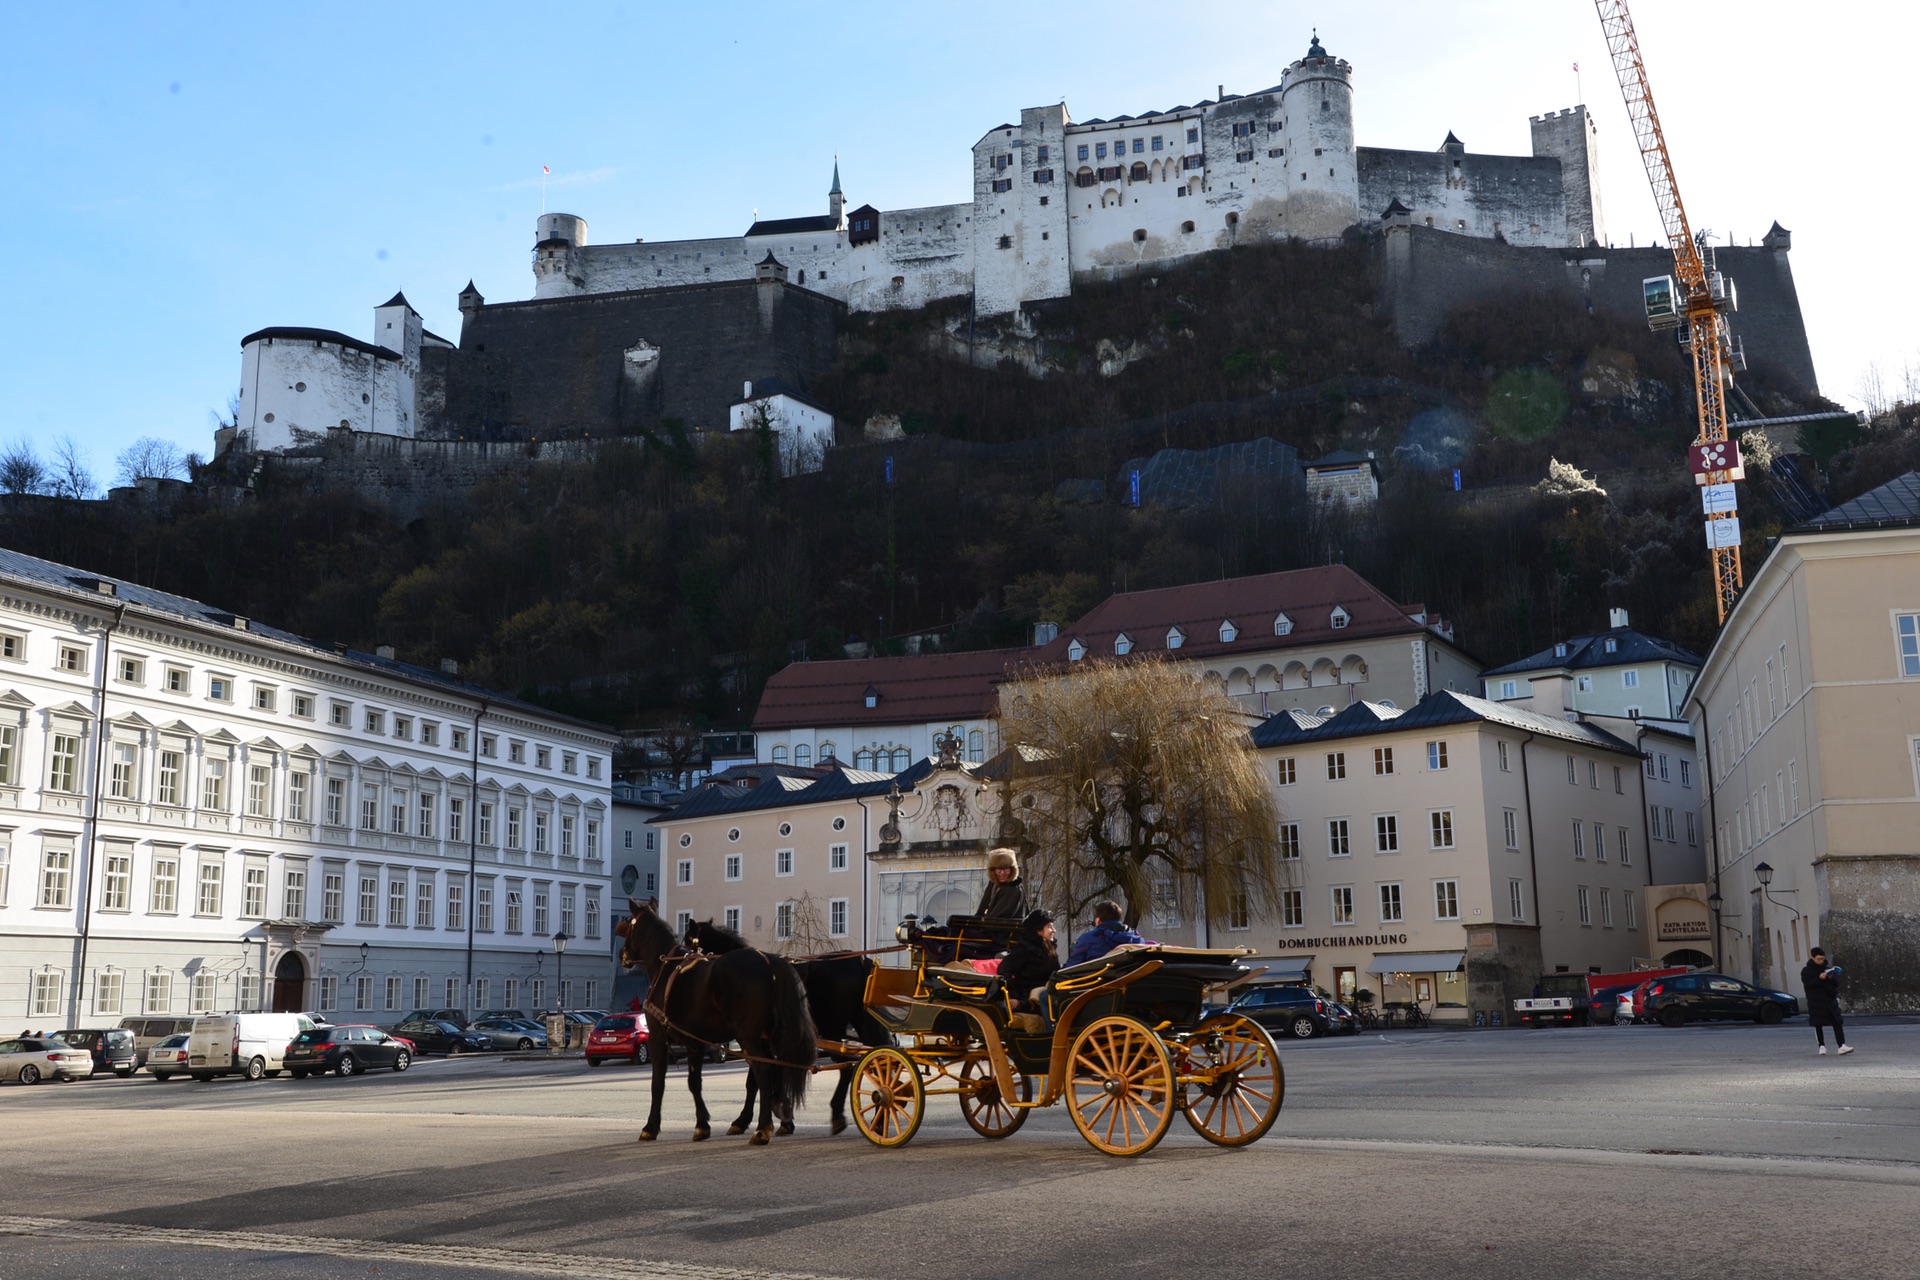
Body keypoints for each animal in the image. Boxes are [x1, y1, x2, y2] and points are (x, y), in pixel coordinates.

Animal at [618, 898, 814, 1143]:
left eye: (629, 925)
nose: (622, 954)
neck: (666, 968)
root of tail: (768, 960)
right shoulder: (694, 1044)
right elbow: (694, 1083)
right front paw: (702, 1124)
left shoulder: (657, 1039)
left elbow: (658, 1083)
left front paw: (651, 1126)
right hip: (767, 1036)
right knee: (775, 1068)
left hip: (749, 1037)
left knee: (763, 1071)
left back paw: (762, 1127)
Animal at [687, 917, 894, 1136]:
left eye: (687, 941)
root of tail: (858, 961)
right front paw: (781, 1115)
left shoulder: (756, 1039)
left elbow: (755, 1080)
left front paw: (747, 1119)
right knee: (878, 1063)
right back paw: (878, 1119)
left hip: (833, 1028)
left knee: (849, 1066)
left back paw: (844, 1114)